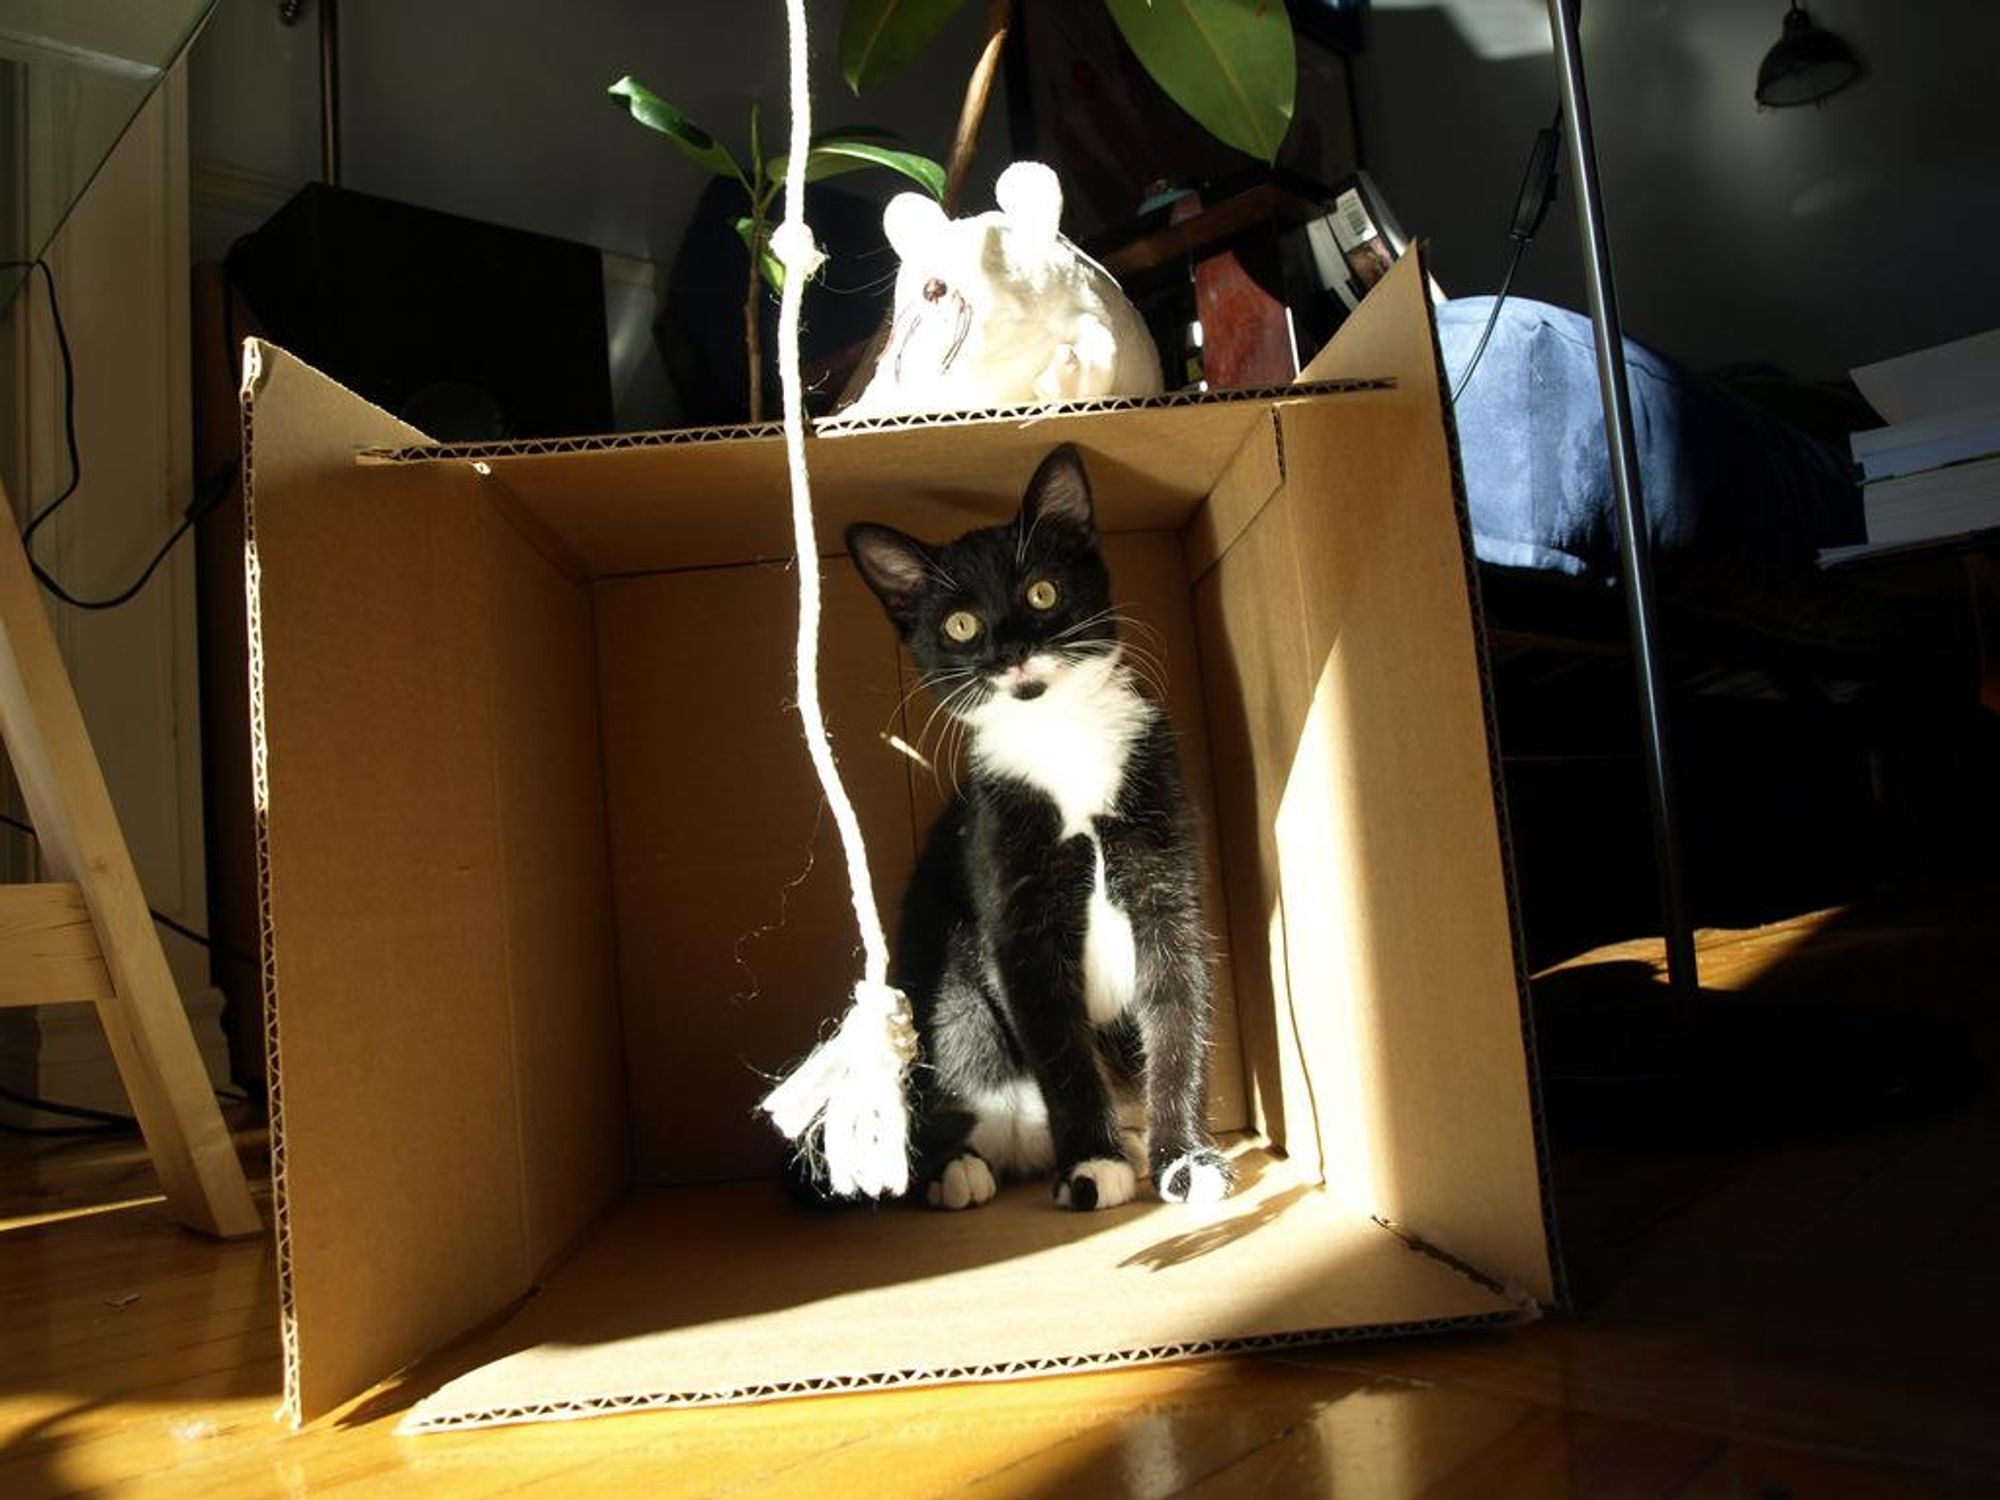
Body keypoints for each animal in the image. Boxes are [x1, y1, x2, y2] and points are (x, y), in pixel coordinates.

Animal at [848, 444, 1232, 1208]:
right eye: (961, 625)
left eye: (1042, 594)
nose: (1014, 649)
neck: (1062, 735)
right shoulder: (1011, 906)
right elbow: (1056, 1036)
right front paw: (1092, 1160)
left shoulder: (1167, 875)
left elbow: (1181, 1005)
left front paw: (1184, 1157)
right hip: (951, 988)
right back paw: (956, 1170)